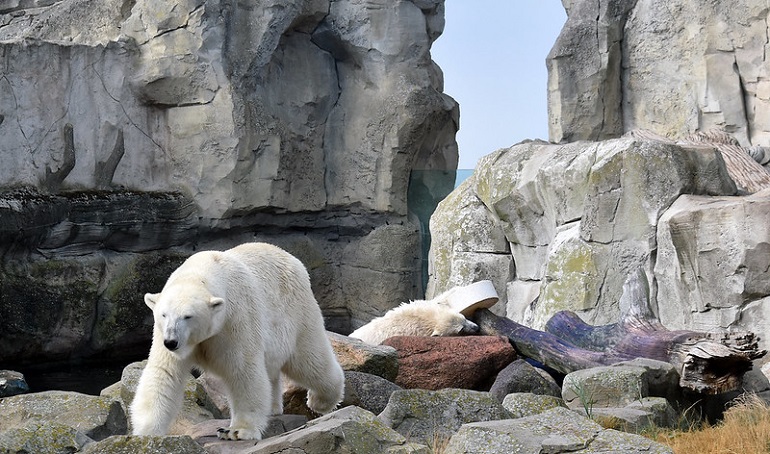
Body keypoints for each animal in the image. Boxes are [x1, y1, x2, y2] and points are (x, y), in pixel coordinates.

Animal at [130, 242, 345, 441]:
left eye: (188, 316)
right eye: (164, 314)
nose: (171, 342)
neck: (204, 271)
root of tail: (291, 258)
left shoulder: (235, 319)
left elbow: (243, 371)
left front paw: (237, 431)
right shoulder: (162, 336)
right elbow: (164, 373)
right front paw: (145, 433)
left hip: (296, 313)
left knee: (309, 360)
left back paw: (320, 400)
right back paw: (273, 407)